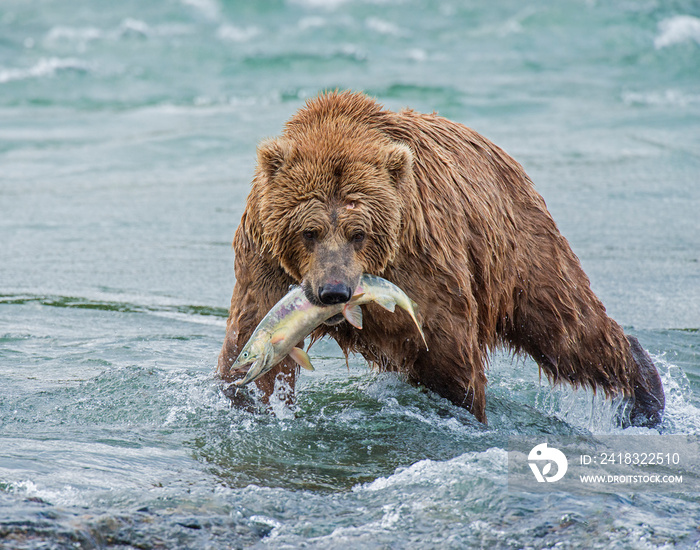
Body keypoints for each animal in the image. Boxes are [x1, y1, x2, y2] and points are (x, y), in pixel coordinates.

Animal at [219, 90, 668, 430]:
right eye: (308, 232)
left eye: (358, 232)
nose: (334, 291)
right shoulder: (264, 259)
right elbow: (255, 337)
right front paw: (249, 398)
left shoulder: (423, 258)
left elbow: (448, 357)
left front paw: (463, 409)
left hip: (520, 246)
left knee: (567, 328)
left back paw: (644, 396)